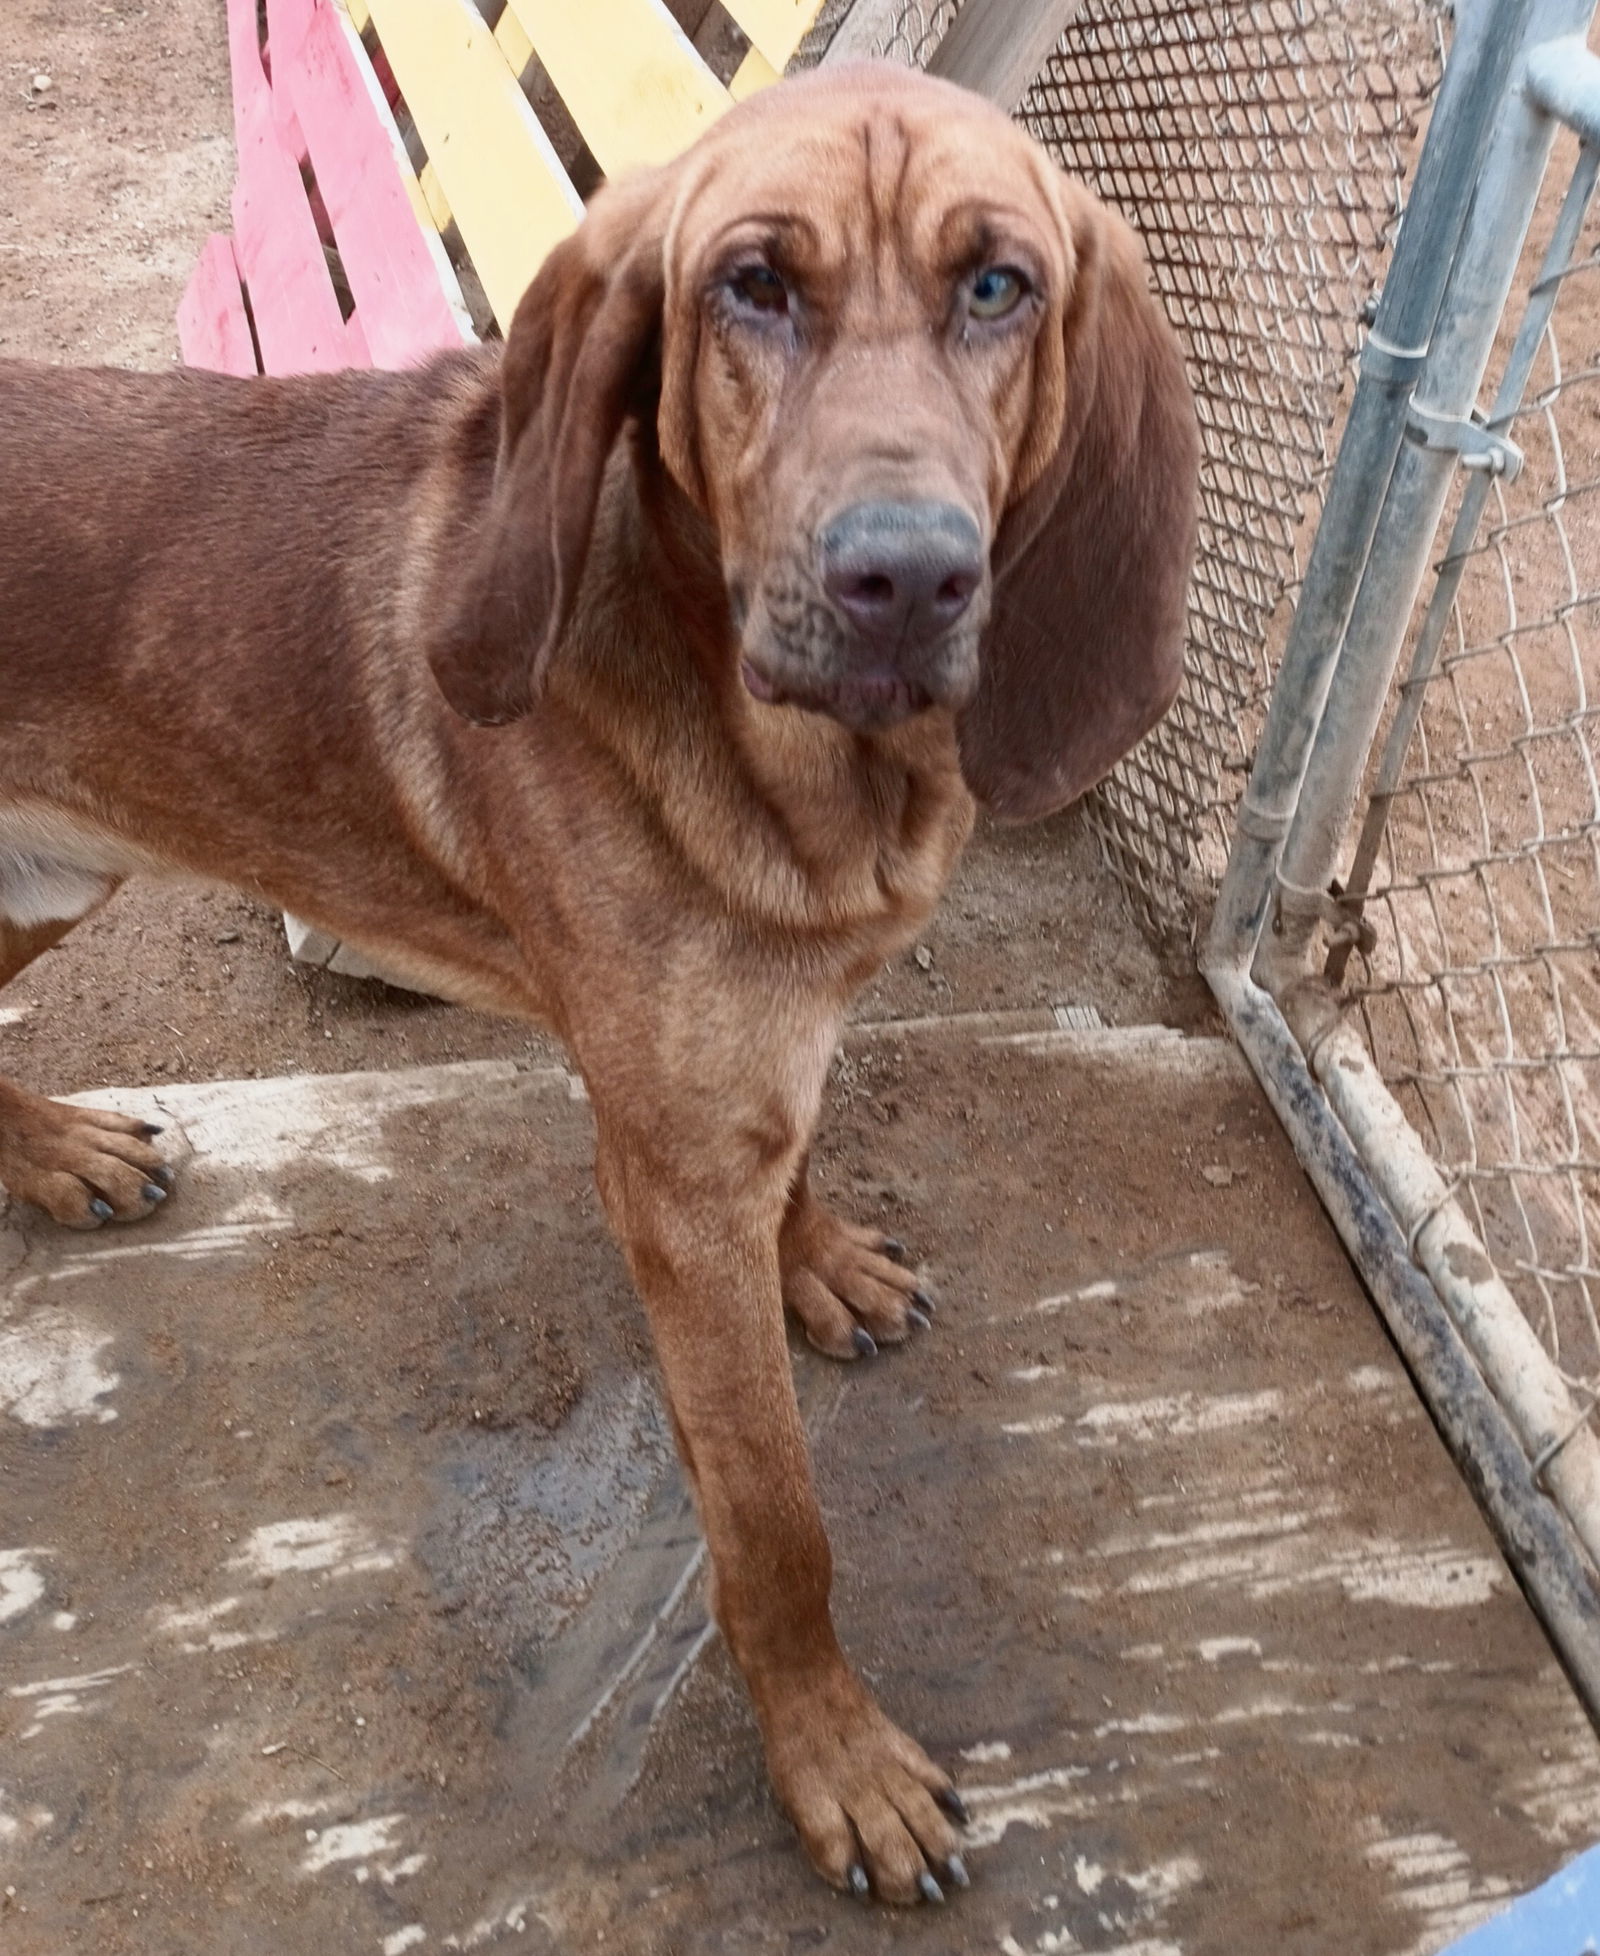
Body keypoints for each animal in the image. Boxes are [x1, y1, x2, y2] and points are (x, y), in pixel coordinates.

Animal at [0, 65, 1189, 1909]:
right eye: (752, 286)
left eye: (1000, 286)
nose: (905, 580)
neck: (806, 774)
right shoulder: (675, 1180)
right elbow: (775, 1524)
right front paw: (836, 1761)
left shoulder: (750, 1084)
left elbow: (801, 1172)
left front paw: (820, 1259)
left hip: (55, 880)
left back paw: (54, 1152)